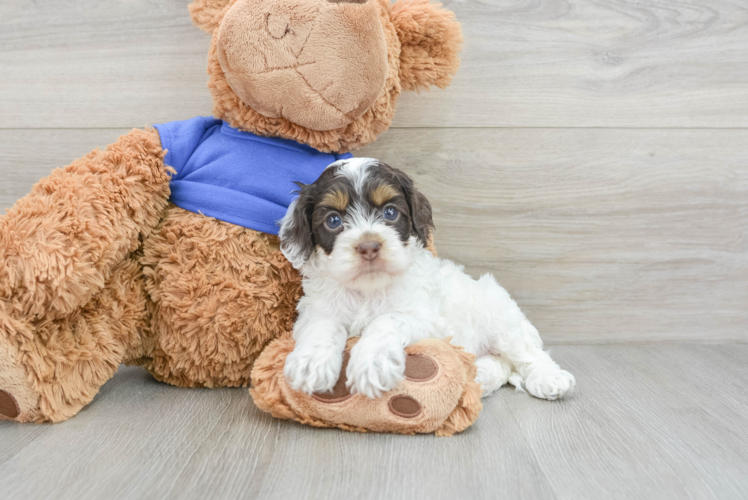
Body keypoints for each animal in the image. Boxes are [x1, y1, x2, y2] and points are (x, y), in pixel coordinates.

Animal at [278, 158, 576, 400]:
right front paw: (310, 362)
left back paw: (550, 378)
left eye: (390, 213)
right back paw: (478, 374)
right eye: (333, 220)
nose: (369, 246)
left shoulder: (429, 321)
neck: (368, 289)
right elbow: (323, 326)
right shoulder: (316, 310)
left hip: (501, 318)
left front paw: (372, 362)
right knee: (502, 365)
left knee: (527, 354)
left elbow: (388, 320)